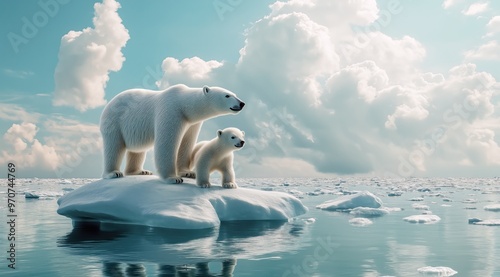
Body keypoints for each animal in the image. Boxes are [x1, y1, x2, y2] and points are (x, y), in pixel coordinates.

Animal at [99, 84, 244, 183]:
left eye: (234, 93)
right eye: (227, 95)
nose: (242, 103)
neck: (183, 104)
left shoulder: (191, 123)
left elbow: (187, 143)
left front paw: (188, 173)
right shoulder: (171, 111)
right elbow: (166, 143)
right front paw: (173, 178)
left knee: (138, 150)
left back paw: (140, 171)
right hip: (114, 121)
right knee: (113, 147)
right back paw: (113, 173)